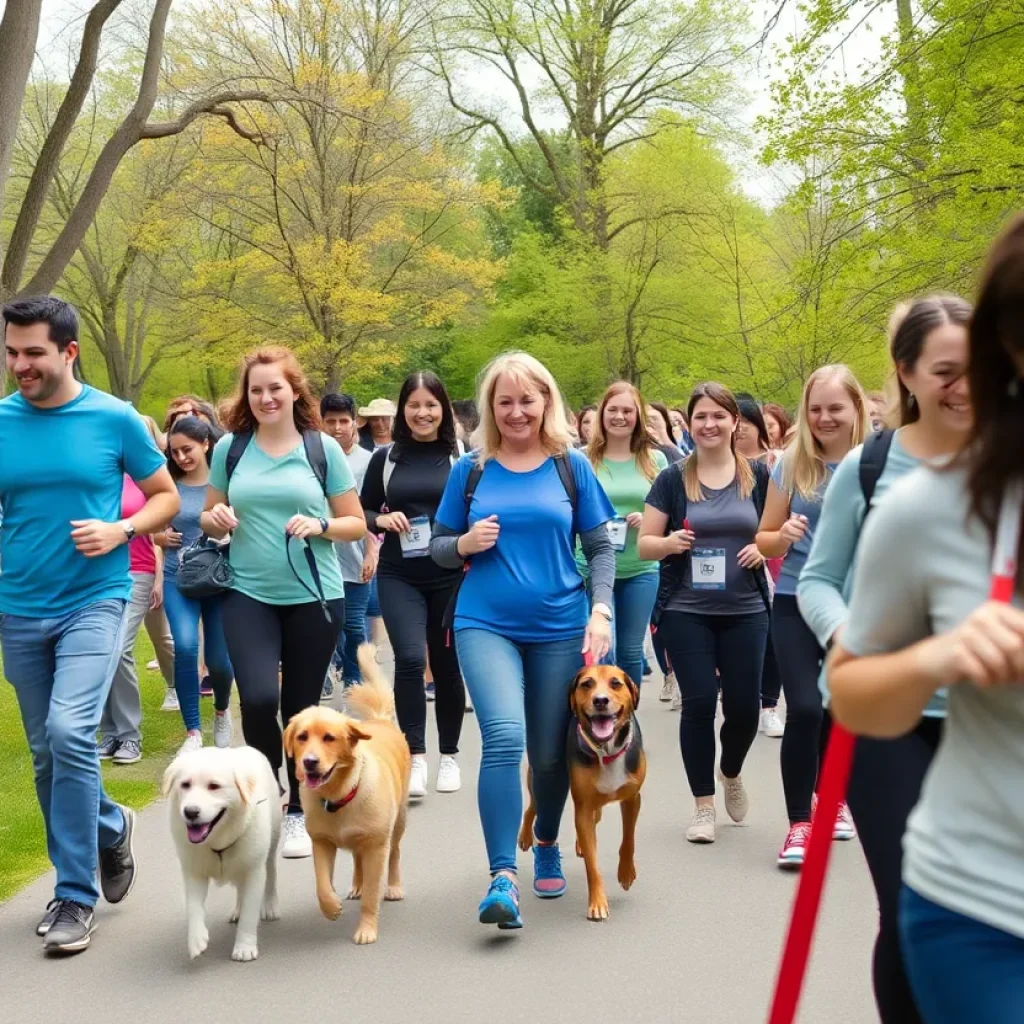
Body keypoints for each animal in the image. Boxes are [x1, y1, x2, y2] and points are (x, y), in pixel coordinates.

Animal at [164, 745, 284, 958]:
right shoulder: (193, 871)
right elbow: (193, 906)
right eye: (185, 784)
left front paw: (244, 947)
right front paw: (196, 939)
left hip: (271, 844)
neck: (217, 841)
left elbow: (250, 912)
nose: (190, 812)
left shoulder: (253, 871)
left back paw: (270, 906)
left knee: (270, 874)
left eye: (214, 786)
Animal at [282, 643, 409, 946]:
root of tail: (379, 720)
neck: (339, 795)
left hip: (398, 822)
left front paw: (366, 929)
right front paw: (331, 908)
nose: (309, 762)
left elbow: (373, 894)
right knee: (356, 858)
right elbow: (321, 884)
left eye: (329, 738)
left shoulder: (376, 846)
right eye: (302, 737)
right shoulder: (321, 842)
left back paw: (394, 886)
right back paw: (356, 885)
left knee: (395, 852)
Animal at [520, 663, 647, 921]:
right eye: (587, 684)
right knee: (532, 808)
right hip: (541, 777)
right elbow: (592, 864)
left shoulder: (632, 798)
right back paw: (526, 836)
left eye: (616, 683)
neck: (606, 752)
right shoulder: (584, 807)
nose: (600, 700)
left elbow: (628, 838)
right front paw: (597, 902)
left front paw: (626, 872)